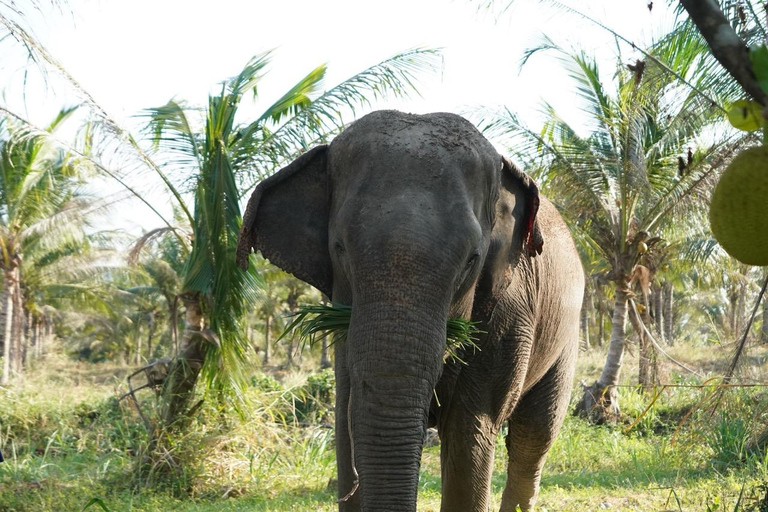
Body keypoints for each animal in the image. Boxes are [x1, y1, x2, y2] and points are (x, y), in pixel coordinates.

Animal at [236, 110, 584, 512]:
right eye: (340, 248)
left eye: (472, 259)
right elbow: (348, 420)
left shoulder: (509, 317)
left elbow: (470, 431)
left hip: (566, 336)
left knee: (533, 437)